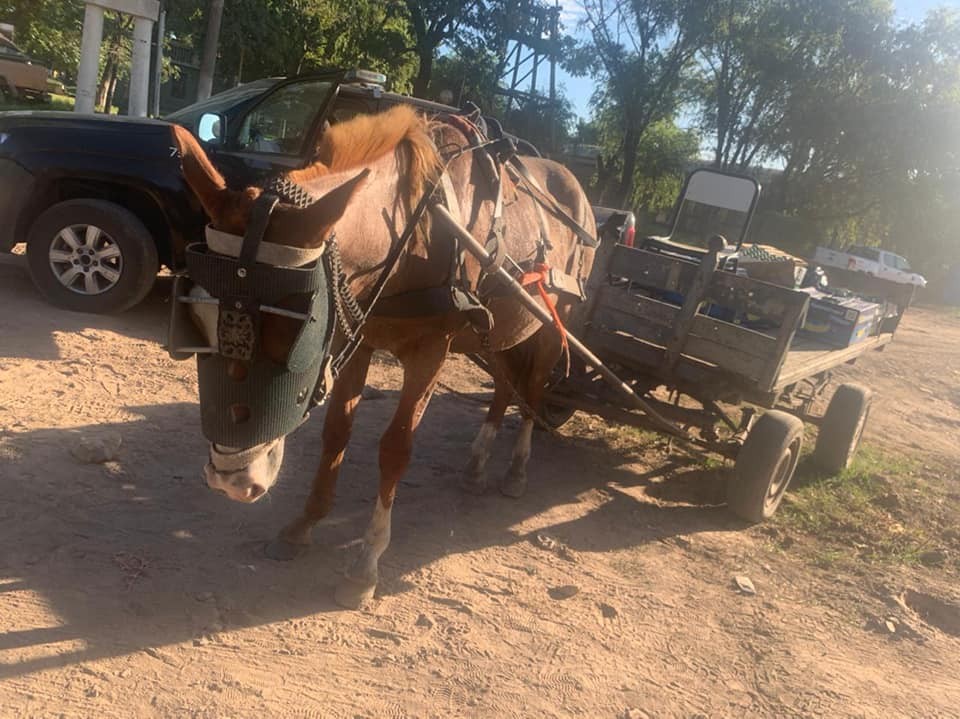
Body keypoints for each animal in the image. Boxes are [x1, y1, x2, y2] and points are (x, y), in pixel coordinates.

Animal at [170, 104, 596, 607]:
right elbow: (336, 433)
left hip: (551, 322)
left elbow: (395, 449)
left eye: (300, 331)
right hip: (499, 331)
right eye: (196, 317)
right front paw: (303, 526)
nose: (233, 479)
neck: (416, 234)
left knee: (532, 388)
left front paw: (366, 563)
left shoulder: (431, 351)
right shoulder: (361, 339)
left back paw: (516, 469)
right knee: (505, 386)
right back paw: (477, 464)